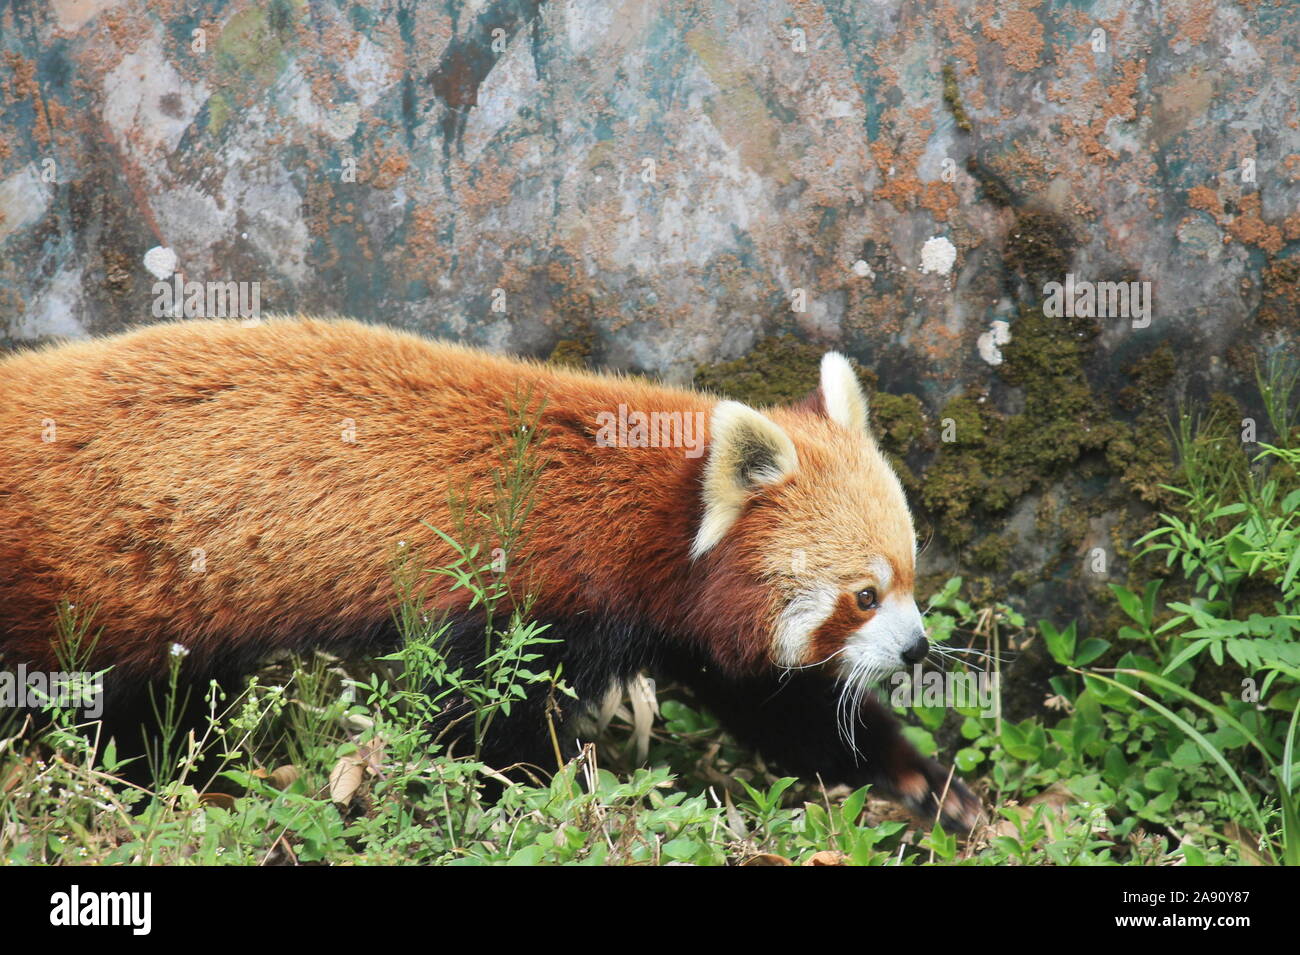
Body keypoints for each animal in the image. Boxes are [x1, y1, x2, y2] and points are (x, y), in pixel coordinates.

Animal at [0, 317, 977, 831]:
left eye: (908, 578)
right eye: (863, 596)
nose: (918, 648)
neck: (645, 515)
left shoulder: (688, 619)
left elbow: (778, 700)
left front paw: (924, 782)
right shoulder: (512, 599)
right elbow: (479, 722)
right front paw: (531, 793)